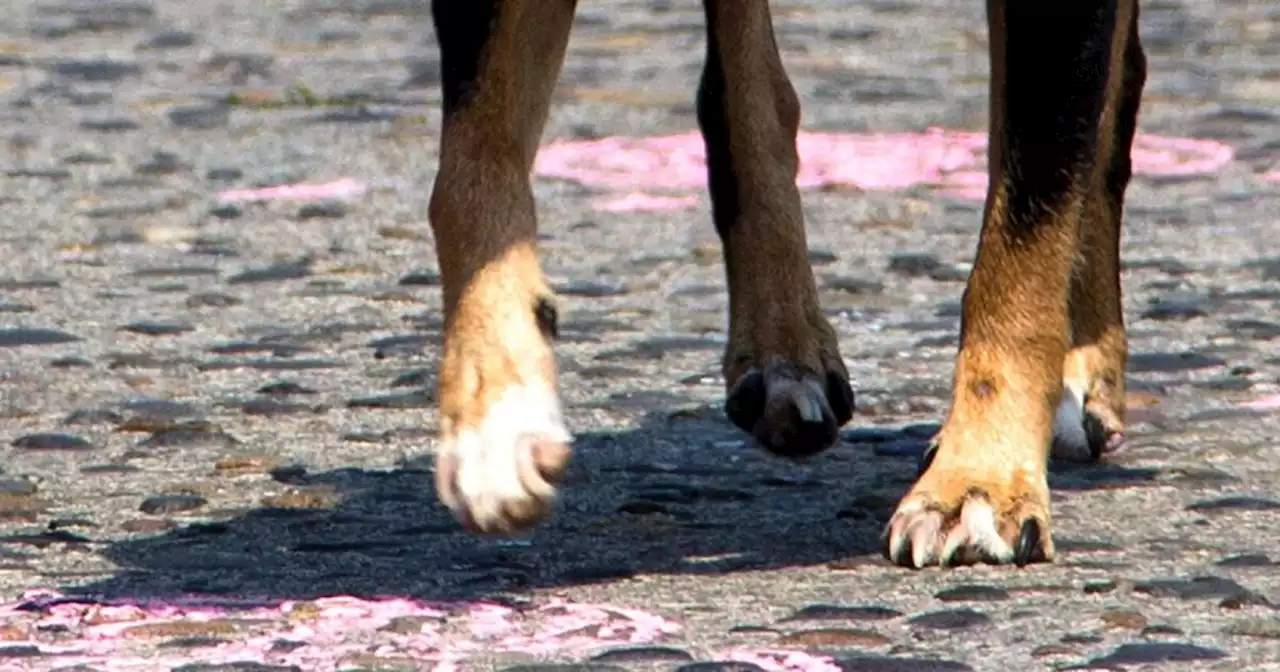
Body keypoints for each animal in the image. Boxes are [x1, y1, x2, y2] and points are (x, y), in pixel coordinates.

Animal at [424, 0, 1146, 568]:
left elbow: (1027, 221)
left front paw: (980, 480)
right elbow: (470, 166)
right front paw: (496, 413)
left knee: (1104, 99)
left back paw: (1077, 375)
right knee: (744, 94)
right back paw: (784, 355)